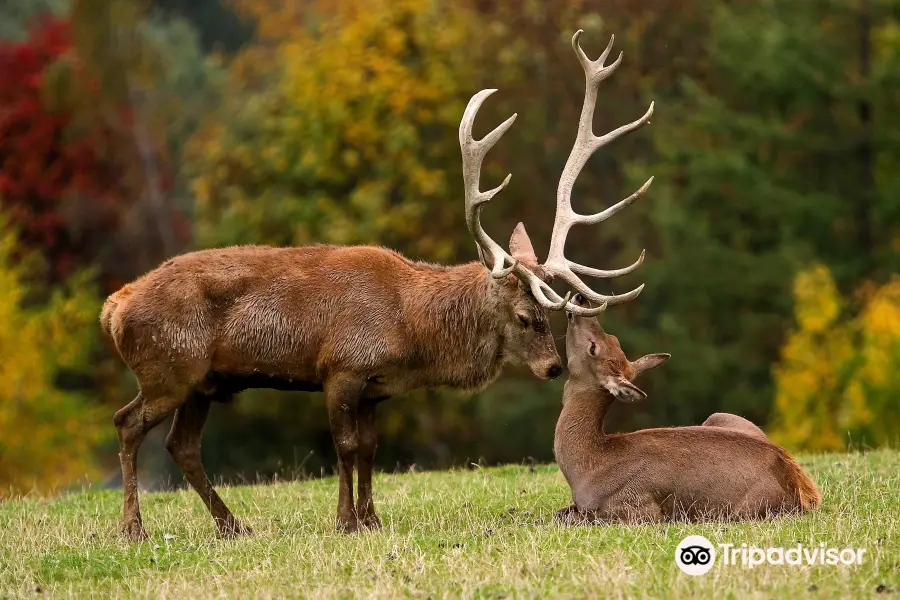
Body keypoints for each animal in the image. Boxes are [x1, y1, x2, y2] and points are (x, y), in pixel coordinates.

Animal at [102, 29, 652, 540]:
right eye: (524, 316)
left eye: (550, 316)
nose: (553, 368)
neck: (410, 328)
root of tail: (114, 307)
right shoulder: (340, 367)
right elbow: (345, 447)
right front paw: (345, 520)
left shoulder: (376, 388)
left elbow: (368, 449)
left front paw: (371, 519)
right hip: (168, 367)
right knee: (127, 423)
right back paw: (134, 528)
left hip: (203, 381)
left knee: (180, 445)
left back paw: (232, 525)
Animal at [552, 292, 820, 524]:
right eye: (614, 339)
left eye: (593, 347)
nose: (581, 298)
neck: (588, 467)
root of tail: (805, 491)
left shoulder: (636, 508)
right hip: (720, 417)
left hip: (747, 509)